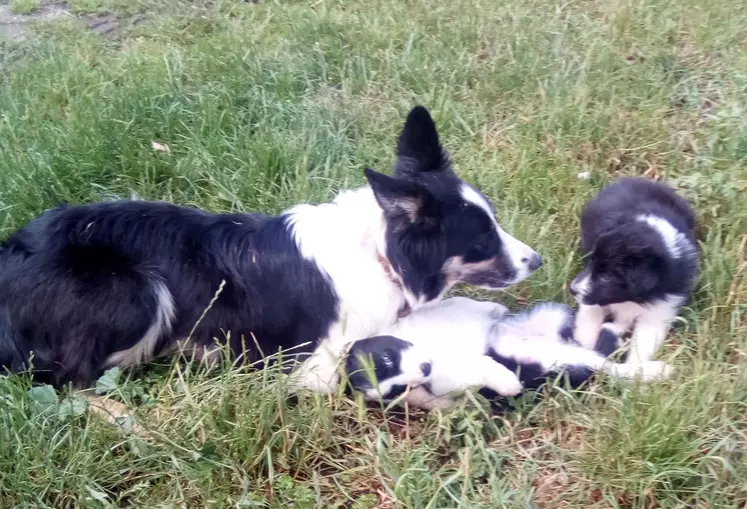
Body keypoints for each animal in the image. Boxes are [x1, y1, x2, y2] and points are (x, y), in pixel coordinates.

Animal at [344, 294, 672, 408]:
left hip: (552, 318)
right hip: (557, 365)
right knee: (609, 367)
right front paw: (508, 384)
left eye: (387, 357)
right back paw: (657, 370)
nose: (425, 369)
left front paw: (494, 308)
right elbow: (484, 369)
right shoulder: (451, 380)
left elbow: (462, 302)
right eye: (400, 389)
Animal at [568, 177, 700, 364]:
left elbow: (642, 346)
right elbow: (588, 322)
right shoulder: (593, 299)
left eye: (605, 276)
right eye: (591, 263)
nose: (572, 289)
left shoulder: (659, 311)